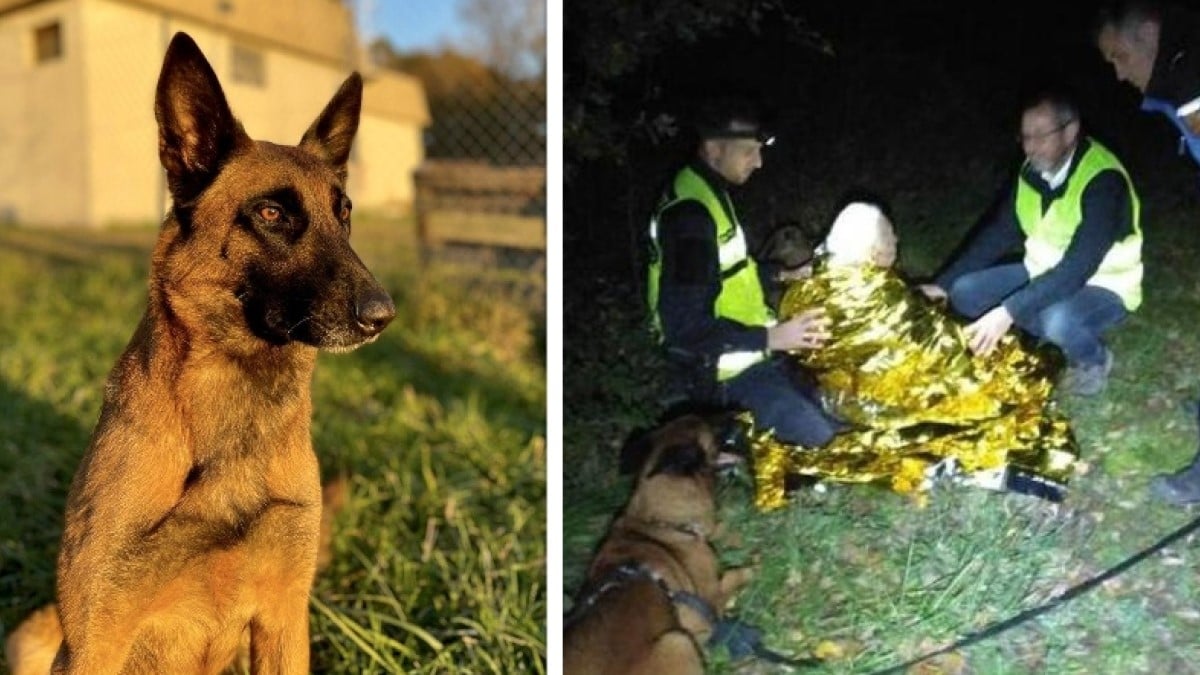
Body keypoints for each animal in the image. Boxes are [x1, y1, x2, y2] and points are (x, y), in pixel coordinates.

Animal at [566, 415, 753, 672]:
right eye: (712, 427)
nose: (743, 420)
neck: (657, 521)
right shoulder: (710, 601)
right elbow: (739, 573)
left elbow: (723, 528)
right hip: (678, 642)